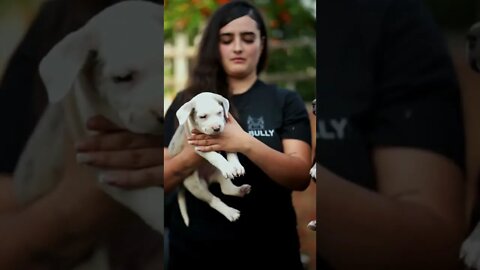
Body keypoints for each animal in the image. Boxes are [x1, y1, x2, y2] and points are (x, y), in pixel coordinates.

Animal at [169, 93, 251, 226]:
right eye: (203, 116)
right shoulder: (199, 147)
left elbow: (231, 151)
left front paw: (235, 166)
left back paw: (241, 190)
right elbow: (216, 156)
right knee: (213, 200)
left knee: (225, 189)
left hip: (218, 173)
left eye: (220, 112)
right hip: (195, 185)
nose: (217, 128)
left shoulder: (228, 139)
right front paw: (228, 167)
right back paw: (230, 213)